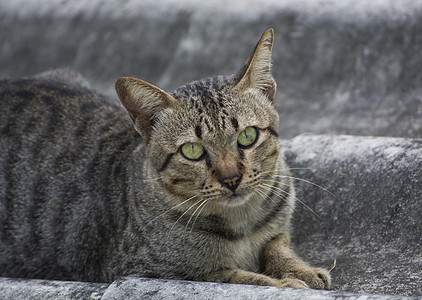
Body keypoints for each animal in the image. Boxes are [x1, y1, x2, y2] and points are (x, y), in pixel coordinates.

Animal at [0, 29, 330, 290]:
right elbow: (236, 275)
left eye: (248, 136)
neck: (242, 222)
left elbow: (277, 246)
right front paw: (285, 282)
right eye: (192, 151)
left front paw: (300, 270)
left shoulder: (279, 231)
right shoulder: (148, 271)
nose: (231, 178)